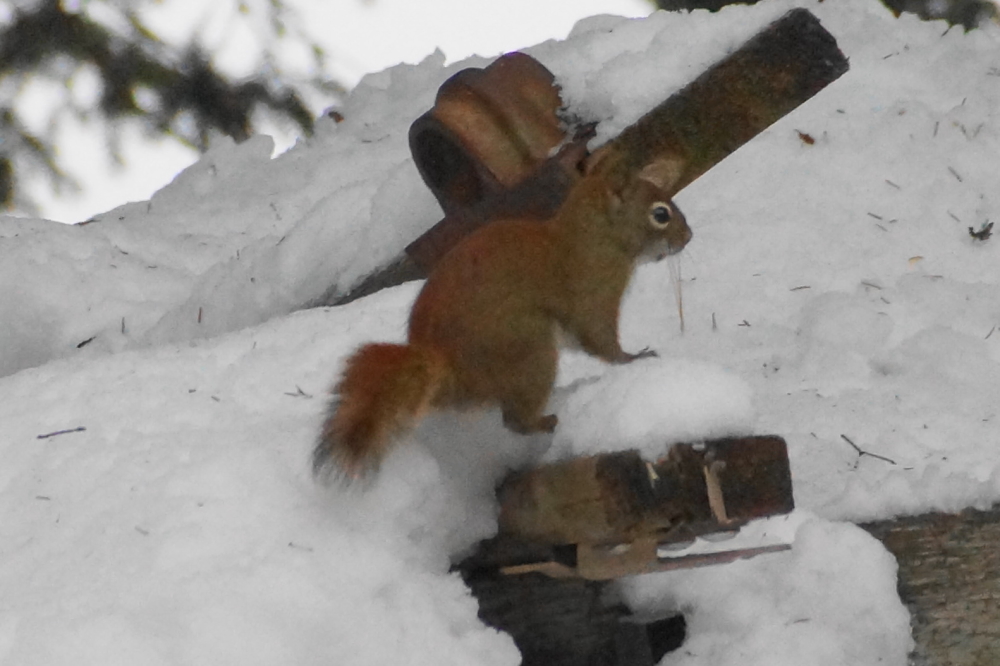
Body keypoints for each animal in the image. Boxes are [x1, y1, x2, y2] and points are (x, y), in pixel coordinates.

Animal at [313, 147, 692, 480]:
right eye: (660, 214)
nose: (688, 236)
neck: (594, 236)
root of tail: (447, 365)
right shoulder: (593, 296)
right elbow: (601, 341)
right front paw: (635, 358)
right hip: (530, 349)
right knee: (515, 421)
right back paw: (548, 421)